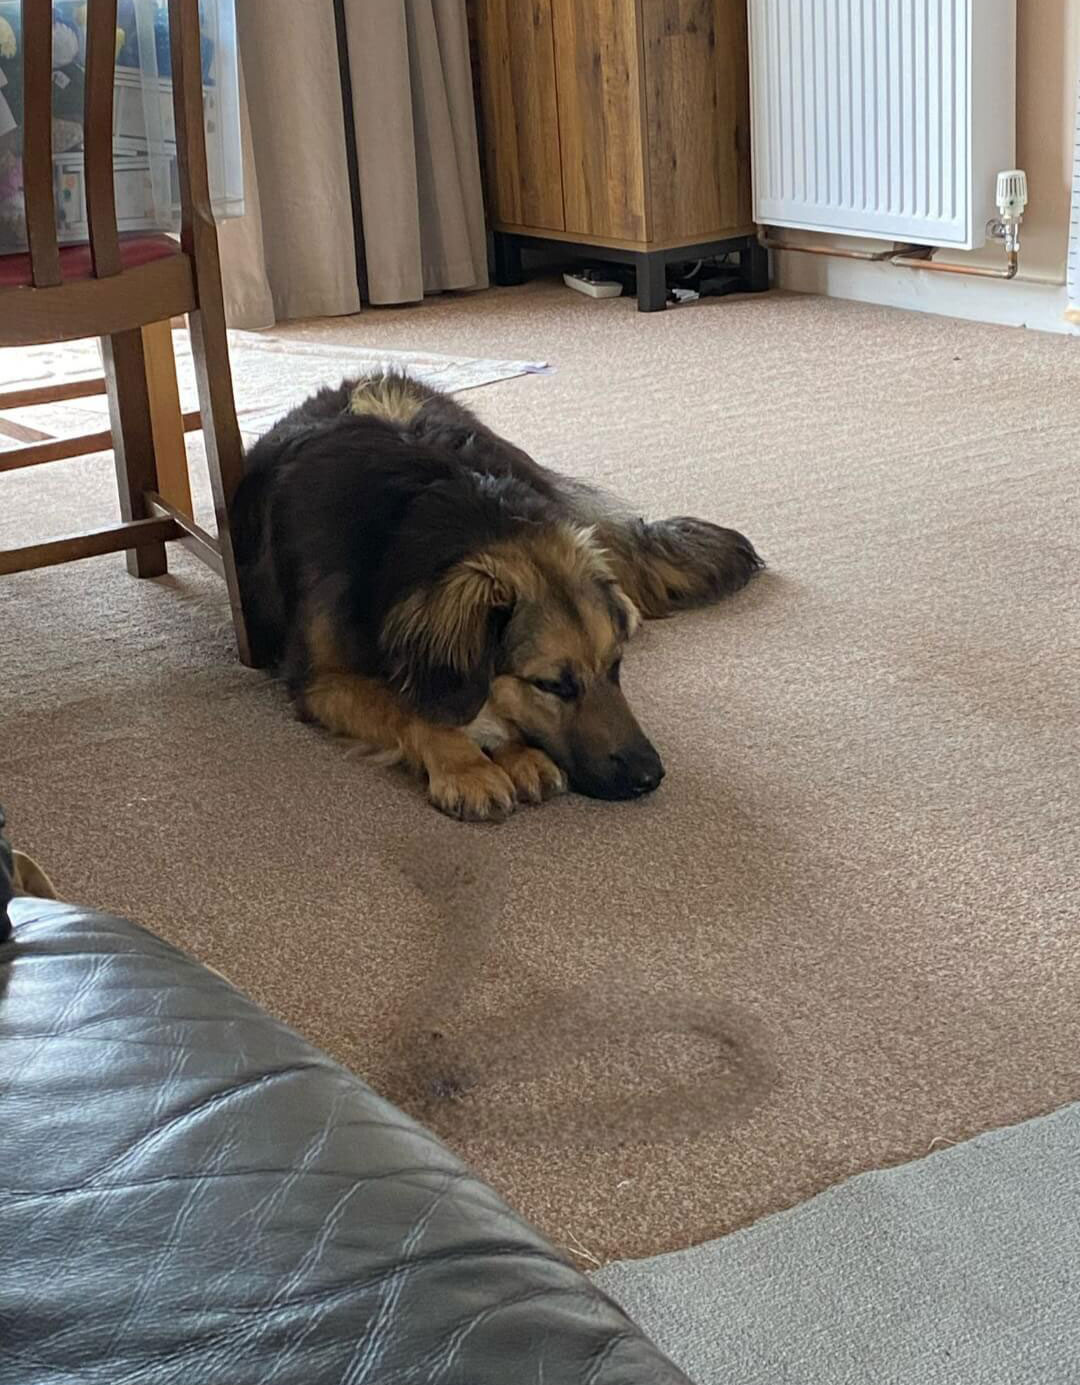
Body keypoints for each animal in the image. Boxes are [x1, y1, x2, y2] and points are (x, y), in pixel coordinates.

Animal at [230, 373, 762, 821]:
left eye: (616, 666)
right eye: (552, 685)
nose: (649, 776)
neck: (399, 527)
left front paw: (514, 751)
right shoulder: (322, 683)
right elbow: (409, 706)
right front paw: (467, 765)